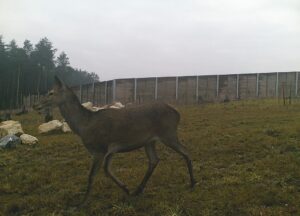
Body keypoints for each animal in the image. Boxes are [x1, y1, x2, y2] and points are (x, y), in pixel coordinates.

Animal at [34, 76, 197, 206]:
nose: (36, 106)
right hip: (150, 141)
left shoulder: (100, 148)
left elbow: (91, 176)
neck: (84, 126)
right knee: (154, 160)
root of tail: (177, 113)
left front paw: (81, 203)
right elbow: (107, 170)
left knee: (186, 151)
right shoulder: (111, 149)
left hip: (168, 134)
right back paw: (138, 190)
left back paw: (192, 183)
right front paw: (126, 189)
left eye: (51, 92)